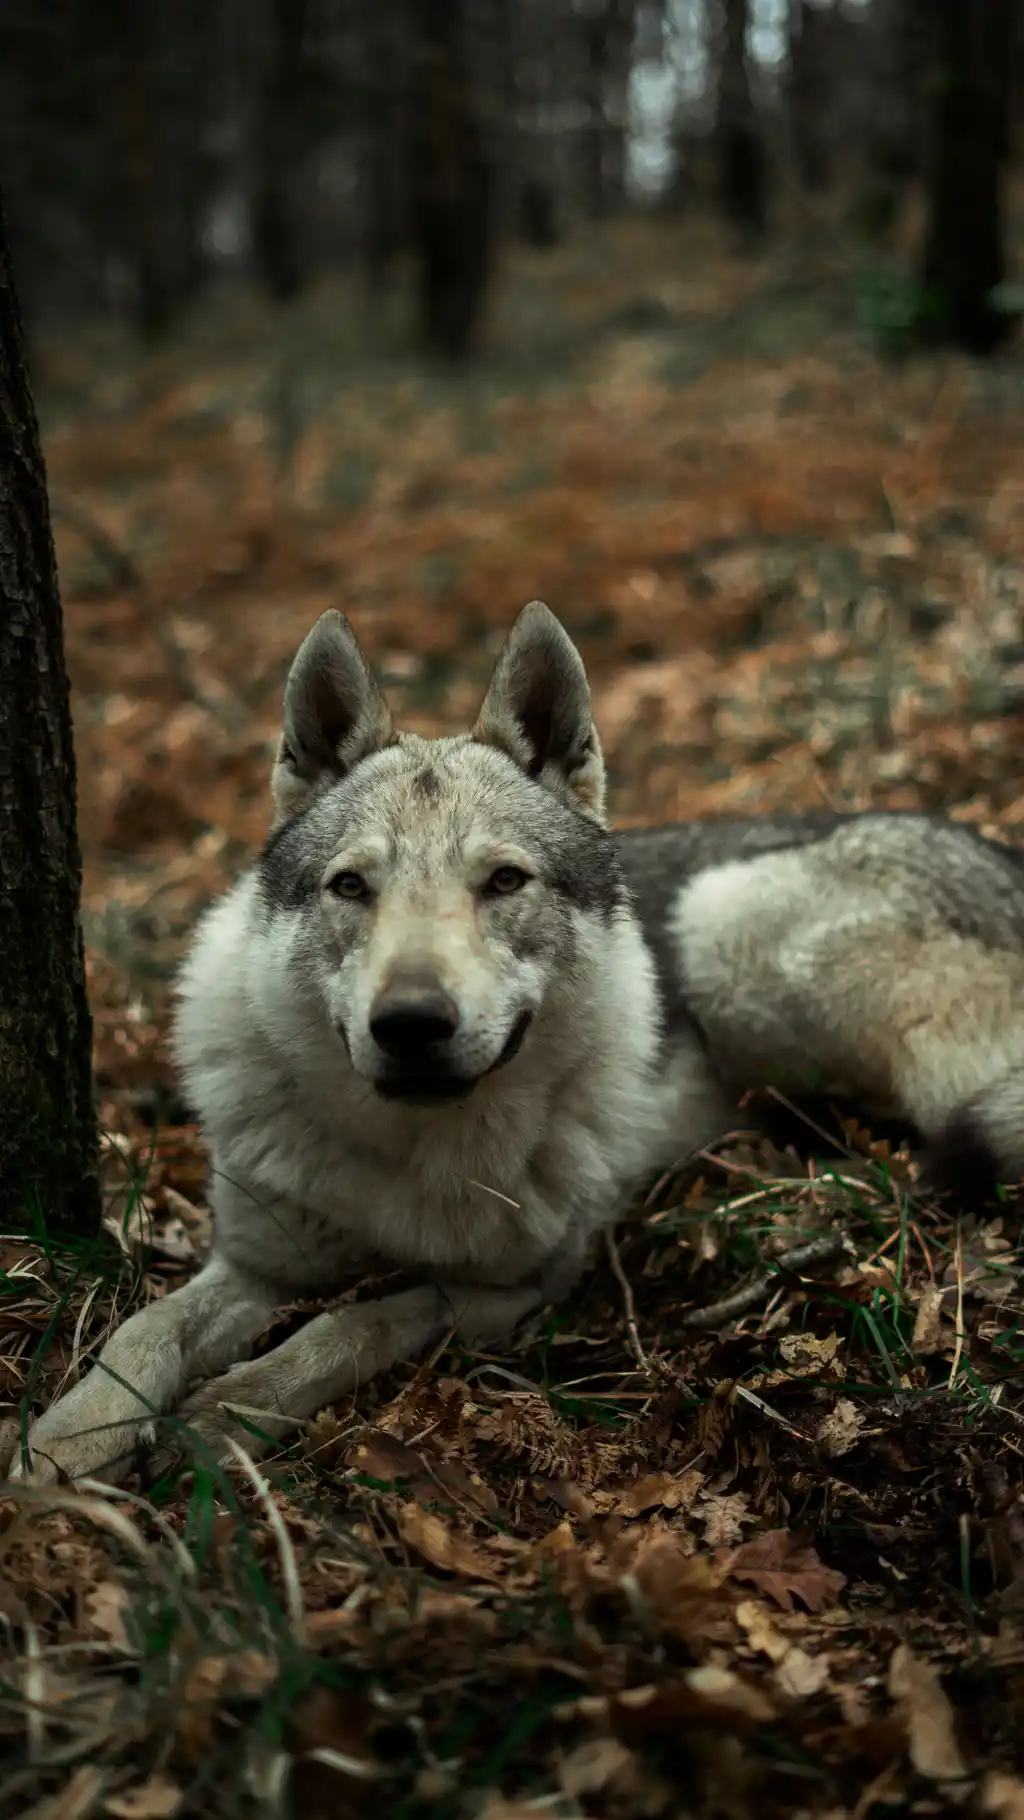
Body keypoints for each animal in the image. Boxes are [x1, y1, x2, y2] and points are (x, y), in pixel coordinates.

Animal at [14, 600, 1024, 1484]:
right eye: (351, 887)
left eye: (503, 881)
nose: (411, 1023)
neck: (408, 1160)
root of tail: (990, 845)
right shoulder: (255, 1261)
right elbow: (143, 1333)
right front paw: (61, 1447)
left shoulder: (515, 1285)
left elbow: (353, 1324)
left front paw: (228, 1411)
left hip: (732, 941)